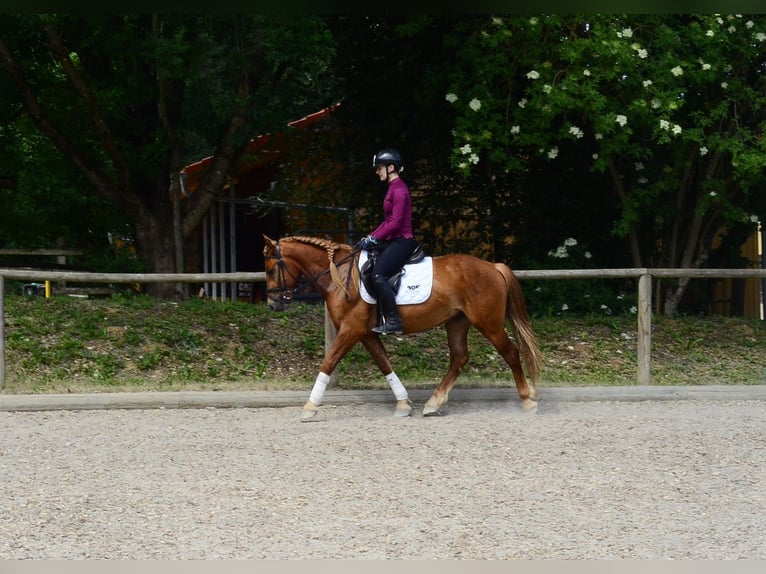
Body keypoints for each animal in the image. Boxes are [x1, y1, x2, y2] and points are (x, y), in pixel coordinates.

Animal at [262, 235, 541, 419]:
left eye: (271, 269)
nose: (273, 304)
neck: (339, 276)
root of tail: (492, 266)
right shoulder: (365, 333)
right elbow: (384, 363)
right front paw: (403, 403)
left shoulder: (351, 330)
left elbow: (329, 362)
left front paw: (310, 407)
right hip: (457, 322)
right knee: (460, 357)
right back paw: (433, 403)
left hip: (488, 322)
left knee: (510, 352)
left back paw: (527, 399)